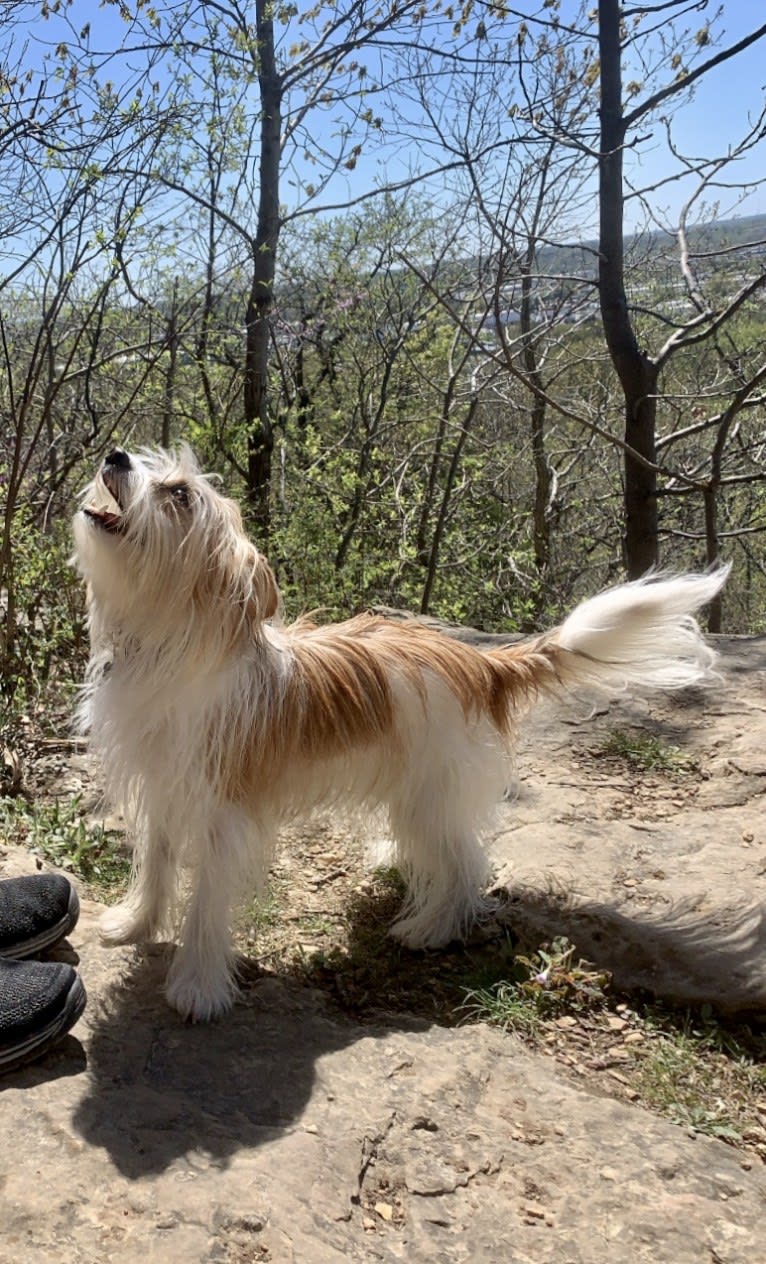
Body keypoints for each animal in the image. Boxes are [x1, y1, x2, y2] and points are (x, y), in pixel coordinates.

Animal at [73, 449, 733, 1021]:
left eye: (180, 494)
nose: (115, 456)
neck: (172, 648)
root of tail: (482, 663)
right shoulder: (161, 788)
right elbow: (156, 863)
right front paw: (136, 924)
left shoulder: (222, 815)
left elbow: (207, 904)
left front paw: (198, 987)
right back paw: (397, 860)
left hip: (432, 791)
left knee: (466, 865)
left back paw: (430, 927)